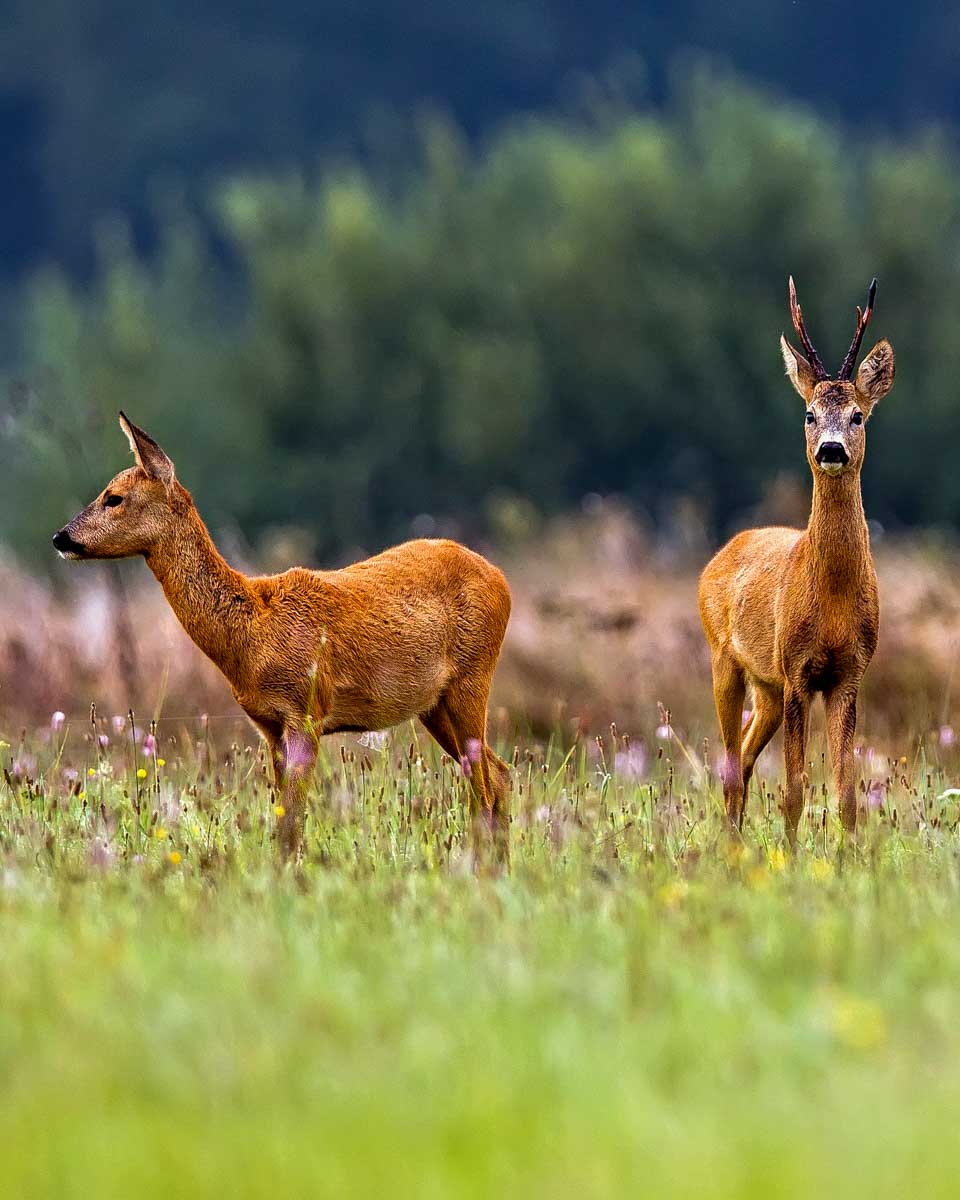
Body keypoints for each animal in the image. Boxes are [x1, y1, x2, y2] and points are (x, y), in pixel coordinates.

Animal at [53, 414, 513, 864]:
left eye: (113, 497)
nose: (61, 537)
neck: (251, 632)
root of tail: (501, 579)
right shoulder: (268, 724)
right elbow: (284, 822)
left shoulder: (307, 711)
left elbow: (292, 823)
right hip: (434, 704)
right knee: (498, 774)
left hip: (473, 677)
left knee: (485, 784)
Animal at [699, 276, 895, 845]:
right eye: (809, 414)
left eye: (857, 415)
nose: (831, 449)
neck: (830, 599)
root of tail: (723, 552)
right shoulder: (798, 670)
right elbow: (794, 790)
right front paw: (792, 856)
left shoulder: (849, 672)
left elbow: (846, 793)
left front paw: (849, 855)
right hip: (725, 660)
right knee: (729, 764)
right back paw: (733, 847)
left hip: (766, 686)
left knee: (742, 759)